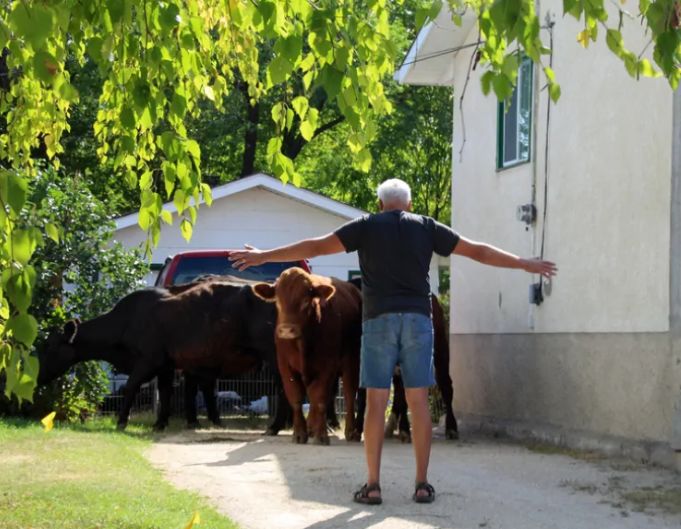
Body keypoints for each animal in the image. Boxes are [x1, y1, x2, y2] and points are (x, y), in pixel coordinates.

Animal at [252, 266, 362, 444]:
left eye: (305, 301)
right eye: (278, 301)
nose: (287, 330)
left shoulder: (327, 366)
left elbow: (321, 398)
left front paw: (321, 435)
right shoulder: (285, 366)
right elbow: (296, 397)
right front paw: (300, 433)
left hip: (352, 361)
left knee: (349, 394)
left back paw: (351, 431)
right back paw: (311, 427)